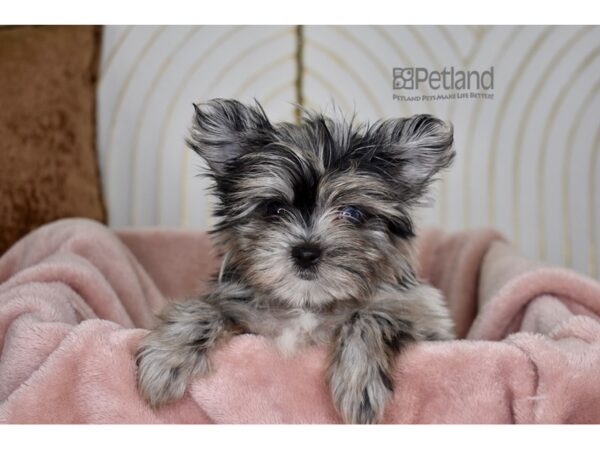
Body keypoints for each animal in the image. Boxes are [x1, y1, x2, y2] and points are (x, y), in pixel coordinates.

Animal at [136, 96, 454, 424]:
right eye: (273, 209)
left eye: (352, 212)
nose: (306, 252)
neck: (307, 303)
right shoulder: (241, 311)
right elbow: (204, 308)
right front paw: (167, 359)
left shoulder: (424, 316)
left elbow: (372, 315)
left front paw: (358, 382)